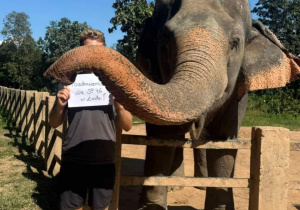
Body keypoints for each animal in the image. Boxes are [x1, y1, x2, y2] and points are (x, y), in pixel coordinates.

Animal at [44, 0, 300, 209]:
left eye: (236, 43)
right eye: (165, 43)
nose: (56, 73)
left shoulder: (238, 95)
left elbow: (224, 142)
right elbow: (162, 136)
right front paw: (152, 207)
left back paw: (200, 183)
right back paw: (177, 185)